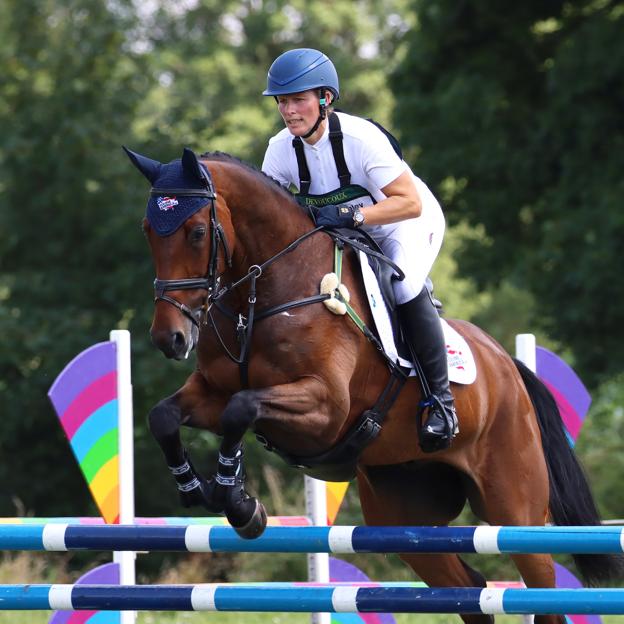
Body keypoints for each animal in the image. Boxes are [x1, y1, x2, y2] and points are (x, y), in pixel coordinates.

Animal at [125, 147, 620, 624]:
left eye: (195, 232)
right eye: (148, 230)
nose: (169, 338)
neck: (268, 292)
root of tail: (507, 366)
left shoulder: (324, 410)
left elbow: (242, 409)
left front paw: (236, 499)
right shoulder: (212, 390)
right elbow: (164, 415)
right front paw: (198, 488)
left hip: (513, 506)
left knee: (541, 591)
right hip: (405, 516)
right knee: (469, 589)